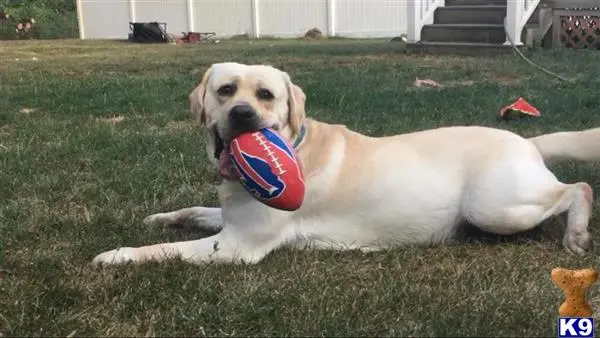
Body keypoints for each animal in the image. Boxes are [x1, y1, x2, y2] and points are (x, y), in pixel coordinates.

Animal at [91, 62, 600, 266]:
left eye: (266, 95)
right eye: (225, 90)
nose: (242, 115)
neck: (293, 144)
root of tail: (525, 140)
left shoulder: (237, 246)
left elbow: (163, 251)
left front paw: (118, 255)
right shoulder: (231, 220)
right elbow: (195, 211)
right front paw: (163, 217)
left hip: (495, 207)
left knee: (577, 188)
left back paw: (576, 233)